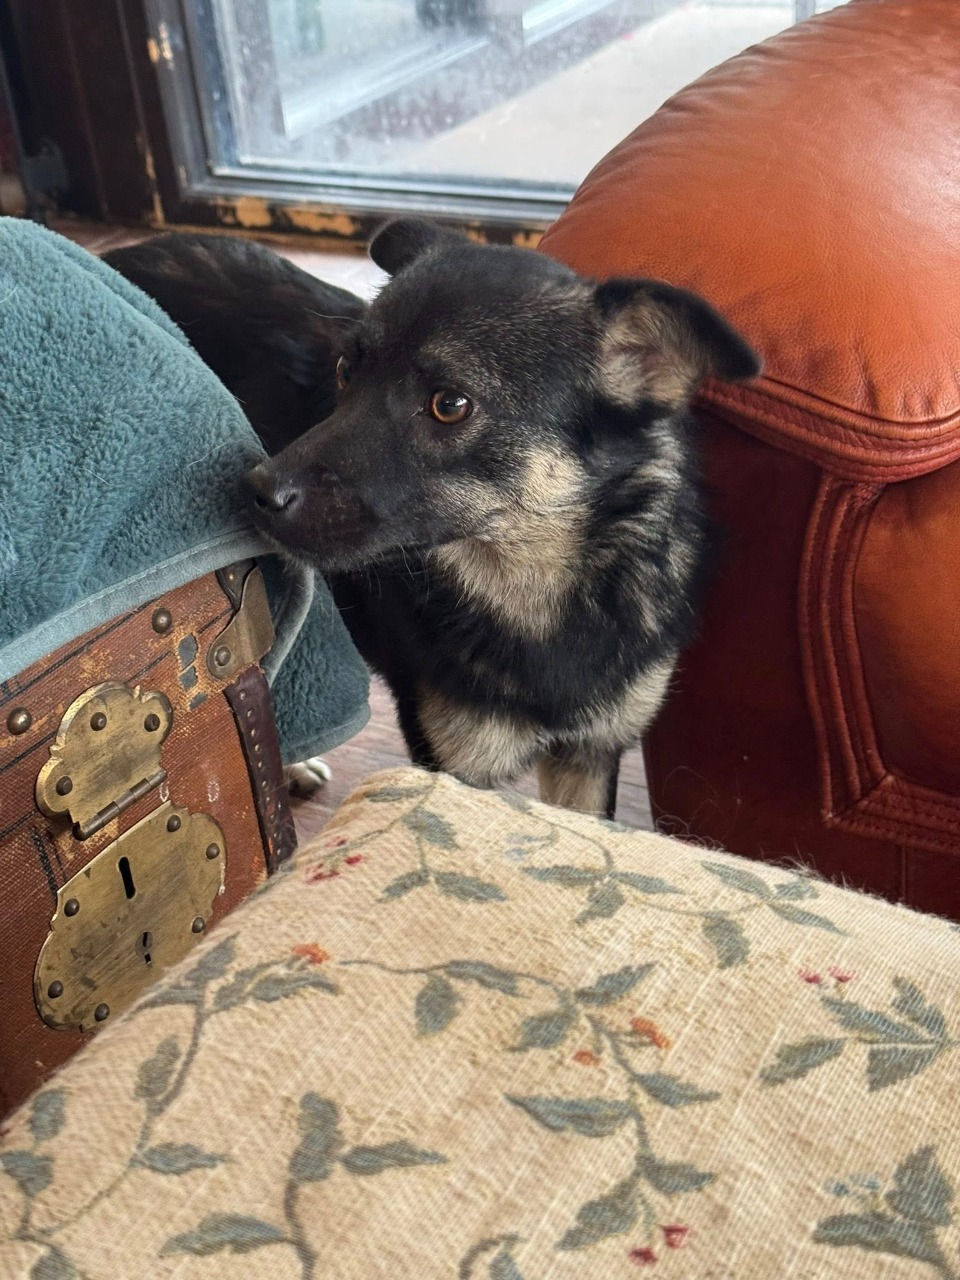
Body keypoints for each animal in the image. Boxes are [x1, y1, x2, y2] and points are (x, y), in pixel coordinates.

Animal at [106, 221, 759, 818]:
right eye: (346, 370)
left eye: (450, 405)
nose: (256, 493)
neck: (546, 591)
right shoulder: (455, 768)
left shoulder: (589, 760)